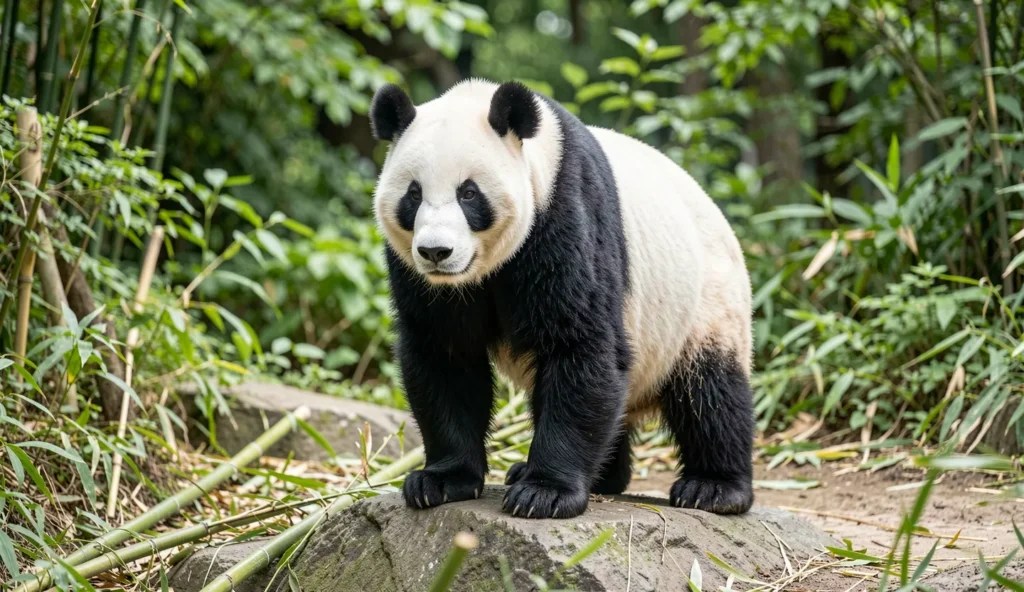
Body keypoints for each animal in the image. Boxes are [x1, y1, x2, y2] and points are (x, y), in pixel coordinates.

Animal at [370, 79, 754, 519]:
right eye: (413, 195)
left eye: (468, 193)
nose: (436, 252)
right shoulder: (421, 279)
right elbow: (445, 355)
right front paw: (441, 480)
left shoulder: (565, 215)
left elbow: (579, 344)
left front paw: (545, 493)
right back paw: (599, 476)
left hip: (702, 300)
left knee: (710, 390)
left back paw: (713, 487)